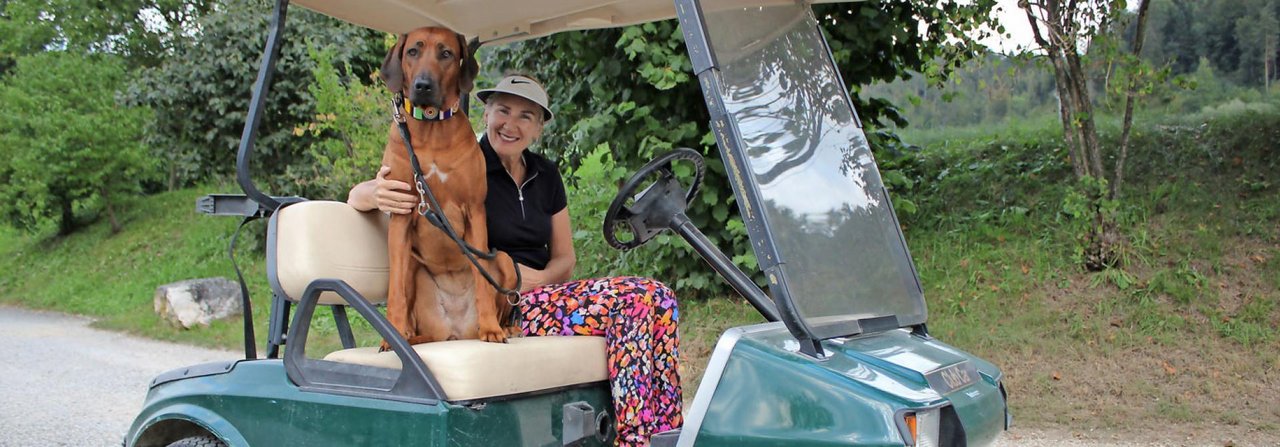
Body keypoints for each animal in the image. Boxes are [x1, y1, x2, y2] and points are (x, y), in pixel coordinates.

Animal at [381, 27, 517, 345]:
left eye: (446, 54)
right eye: (412, 51)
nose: (422, 86)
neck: (431, 128)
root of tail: (455, 333)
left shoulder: (475, 209)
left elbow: (482, 282)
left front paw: (491, 328)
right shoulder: (401, 214)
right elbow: (395, 292)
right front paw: (391, 338)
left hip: (504, 260)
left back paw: (503, 327)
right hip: (413, 266)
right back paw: (406, 335)